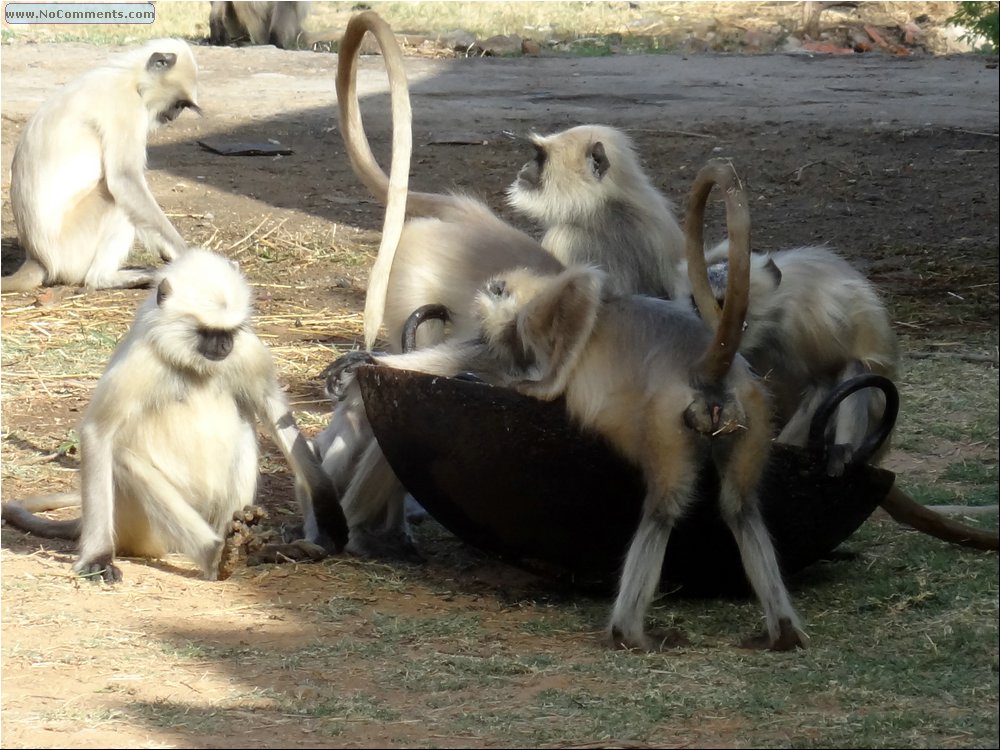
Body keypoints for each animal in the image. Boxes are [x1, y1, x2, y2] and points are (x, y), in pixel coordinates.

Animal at [0, 250, 352, 584]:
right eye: (206, 332)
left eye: (229, 331)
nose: (224, 344)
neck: (191, 365)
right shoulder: (141, 360)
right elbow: (98, 433)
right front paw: (97, 556)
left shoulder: (248, 351)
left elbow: (275, 413)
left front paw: (327, 507)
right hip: (137, 527)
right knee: (122, 456)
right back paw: (215, 555)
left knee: (243, 432)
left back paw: (250, 548)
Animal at [2, 39, 203, 294]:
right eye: (178, 104)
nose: (175, 114)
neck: (128, 76)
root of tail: (37, 258)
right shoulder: (126, 106)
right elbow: (124, 180)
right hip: (72, 248)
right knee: (115, 197)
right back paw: (103, 279)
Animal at [472, 162, 808, 656]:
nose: (502, 347)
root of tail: (705, 366)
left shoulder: (542, 306)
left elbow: (585, 289)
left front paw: (541, 388)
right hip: (751, 408)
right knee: (740, 507)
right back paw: (782, 631)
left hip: (665, 415)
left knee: (662, 509)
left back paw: (627, 632)